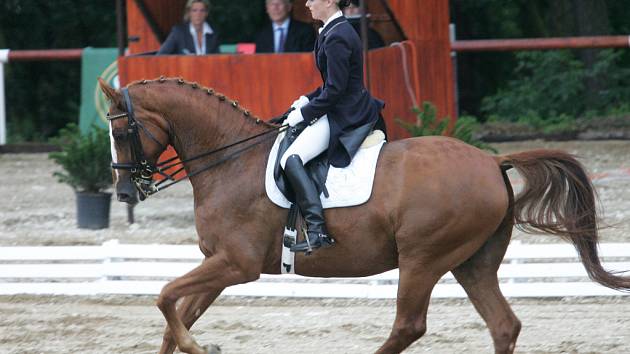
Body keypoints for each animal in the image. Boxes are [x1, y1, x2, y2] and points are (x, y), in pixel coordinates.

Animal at [101, 79, 628, 354]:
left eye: (123, 132)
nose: (125, 191)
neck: (229, 160)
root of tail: (491, 161)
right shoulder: (219, 264)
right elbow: (175, 315)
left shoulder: (237, 264)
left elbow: (164, 298)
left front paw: (202, 346)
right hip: (472, 261)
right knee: (503, 325)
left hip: (422, 258)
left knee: (409, 325)